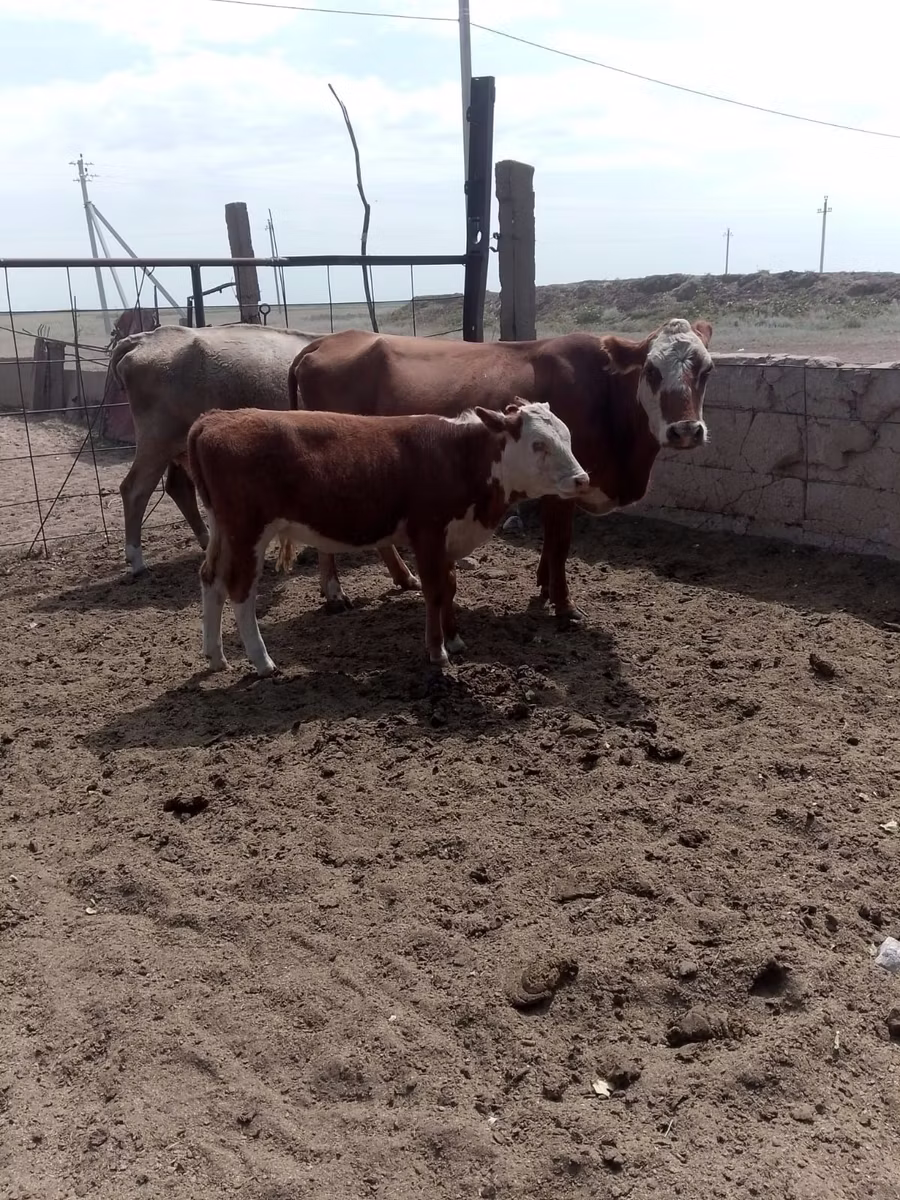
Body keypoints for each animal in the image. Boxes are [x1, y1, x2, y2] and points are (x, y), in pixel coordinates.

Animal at [112, 323, 328, 576]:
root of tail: (145, 338)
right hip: (157, 441)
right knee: (135, 489)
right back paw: (136, 560)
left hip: (179, 446)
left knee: (179, 488)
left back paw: (207, 541)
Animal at [185, 400, 590, 677]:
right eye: (538, 444)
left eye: (569, 437)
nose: (582, 479)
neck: (460, 457)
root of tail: (215, 417)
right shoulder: (427, 532)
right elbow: (435, 591)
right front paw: (437, 651)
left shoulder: (448, 538)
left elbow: (450, 586)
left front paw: (455, 639)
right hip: (247, 531)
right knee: (241, 590)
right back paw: (262, 661)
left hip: (222, 529)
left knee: (211, 580)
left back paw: (215, 655)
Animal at [288, 318, 714, 623]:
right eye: (651, 370)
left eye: (706, 370)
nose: (685, 431)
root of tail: (325, 341)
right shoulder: (565, 486)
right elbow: (560, 543)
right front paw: (564, 605)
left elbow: (550, 545)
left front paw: (544, 588)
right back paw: (335, 592)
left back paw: (403, 577)